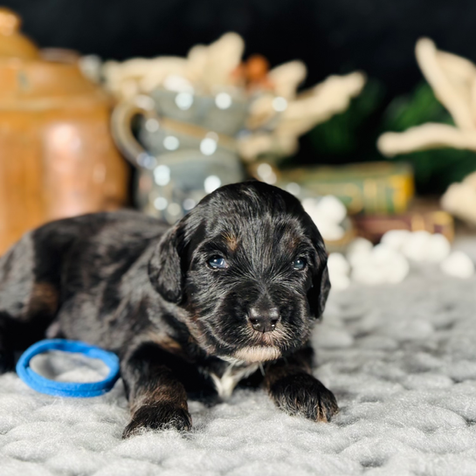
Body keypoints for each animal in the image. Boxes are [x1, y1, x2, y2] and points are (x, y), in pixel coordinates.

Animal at [0, 181, 338, 436]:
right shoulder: (145, 344)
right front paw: (158, 420)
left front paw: (308, 391)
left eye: (300, 263)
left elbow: (292, 359)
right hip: (34, 284)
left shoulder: (301, 334)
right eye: (216, 261)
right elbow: (159, 378)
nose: (266, 319)